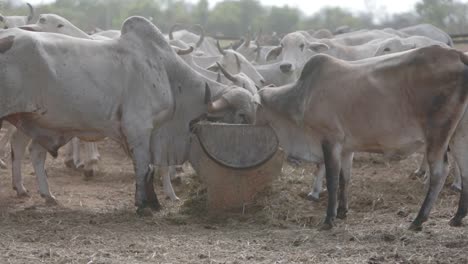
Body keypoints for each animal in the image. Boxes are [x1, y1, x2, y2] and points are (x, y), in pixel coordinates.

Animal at [258, 46, 468, 231]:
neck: (302, 96)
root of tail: (457, 54)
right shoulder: (346, 149)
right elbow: (345, 179)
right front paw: (342, 212)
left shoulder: (330, 140)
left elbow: (332, 181)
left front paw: (328, 219)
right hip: (458, 135)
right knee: (464, 168)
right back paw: (457, 217)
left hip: (437, 134)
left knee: (439, 172)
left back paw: (418, 220)